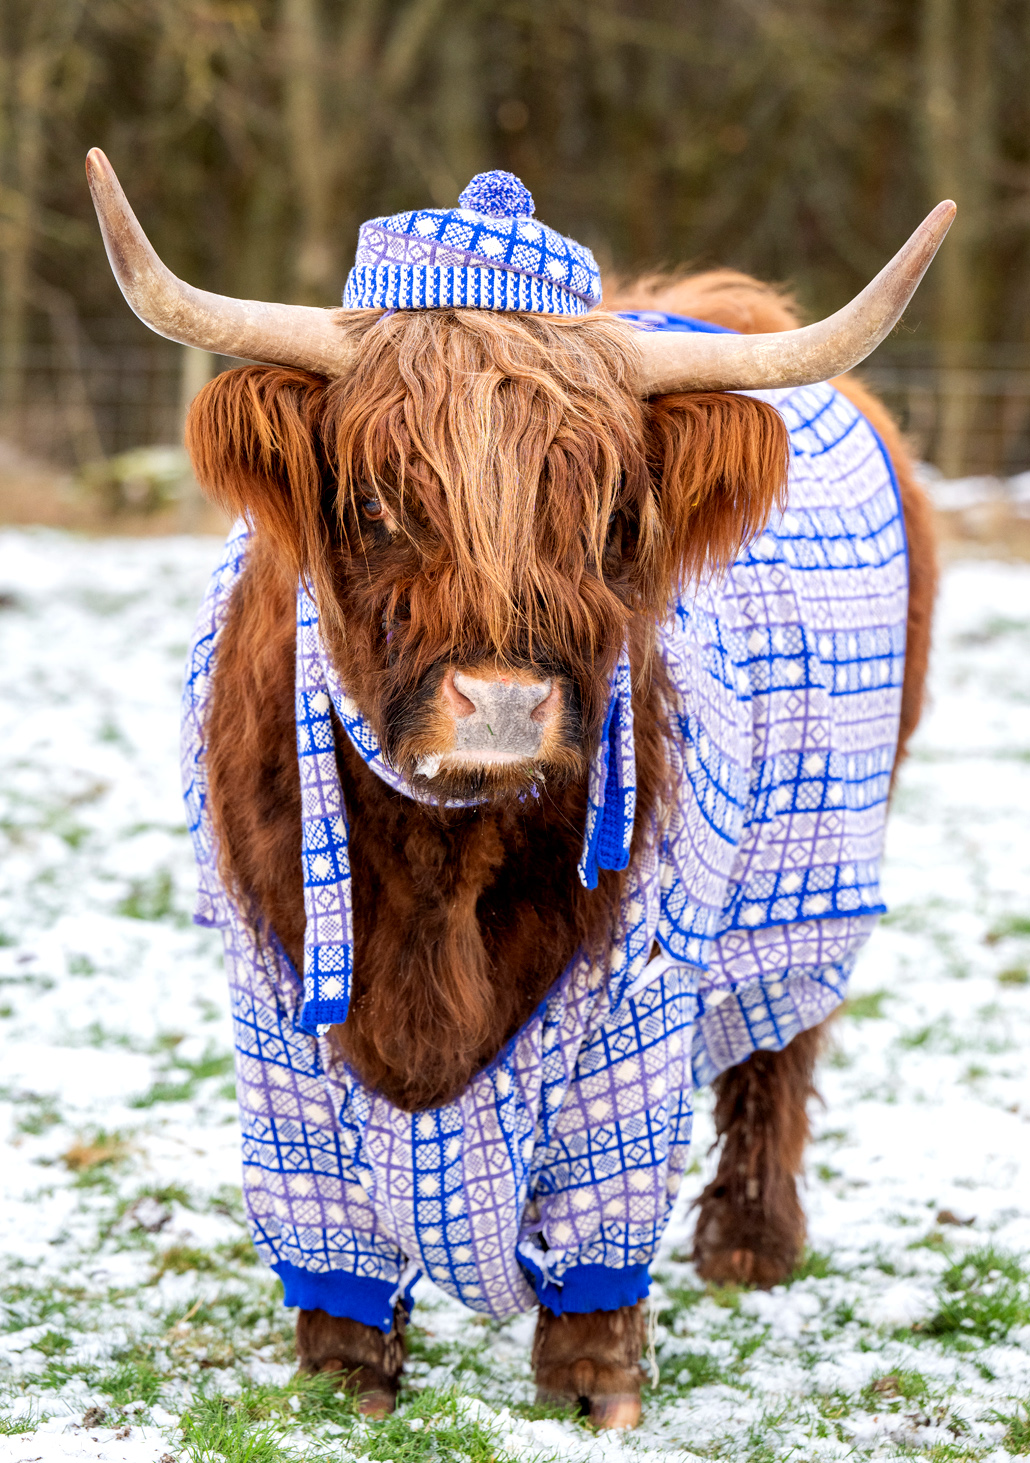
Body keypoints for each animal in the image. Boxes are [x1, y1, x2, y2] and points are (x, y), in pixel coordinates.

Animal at [87, 150, 950, 1429]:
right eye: (377, 500)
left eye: (607, 513)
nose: (500, 703)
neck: (437, 860)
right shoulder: (272, 997)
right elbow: (325, 1220)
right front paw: (344, 1378)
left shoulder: (638, 991)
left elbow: (606, 1202)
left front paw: (595, 1388)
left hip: (823, 864)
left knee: (780, 1042)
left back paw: (750, 1243)